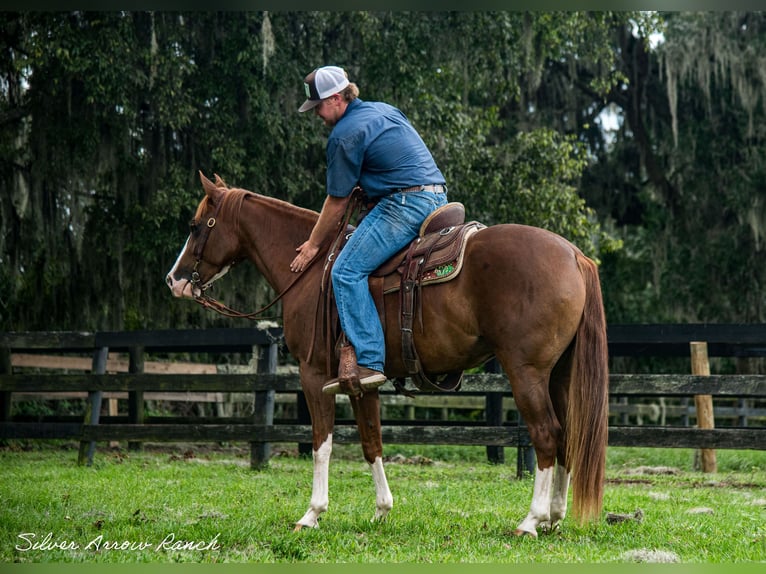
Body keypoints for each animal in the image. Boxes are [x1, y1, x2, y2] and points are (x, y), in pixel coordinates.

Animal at [168, 172, 612, 540]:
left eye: (195, 226)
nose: (174, 280)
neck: (312, 270)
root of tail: (575, 255)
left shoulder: (314, 375)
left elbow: (321, 443)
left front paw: (312, 514)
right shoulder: (361, 383)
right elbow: (371, 441)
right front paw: (382, 510)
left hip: (526, 372)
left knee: (546, 434)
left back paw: (532, 520)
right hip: (558, 375)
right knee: (567, 435)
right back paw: (554, 517)